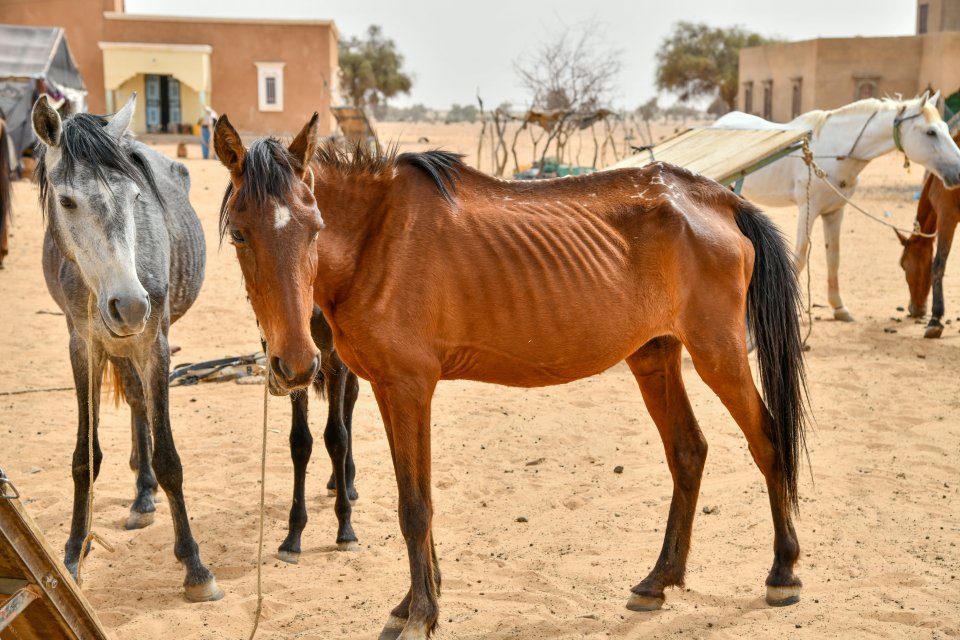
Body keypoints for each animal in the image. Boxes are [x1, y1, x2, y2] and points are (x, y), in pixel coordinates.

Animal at [31, 94, 223, 600]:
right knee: (136, 401)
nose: (131, 305)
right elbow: (85, 457)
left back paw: (145, 491)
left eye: (137, 198)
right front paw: (73, 555)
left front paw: (195, 566)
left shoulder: (154, 344)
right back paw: (141, 491)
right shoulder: (82, 347)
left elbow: (170, 457)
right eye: (66, 200)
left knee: (141, 404)